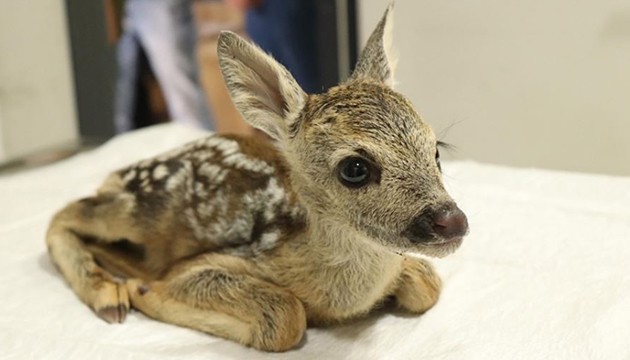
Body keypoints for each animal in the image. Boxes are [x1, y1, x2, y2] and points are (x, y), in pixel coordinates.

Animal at [45, 4, 470, 352]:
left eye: (436, 150)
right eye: (355, 168)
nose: (452, 221)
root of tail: (117, 174)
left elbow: (428, 284)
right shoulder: (204, 263)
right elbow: (286, 316)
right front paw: (141, 288)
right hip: (142, 211)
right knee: (64, 214)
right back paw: (109, 294)